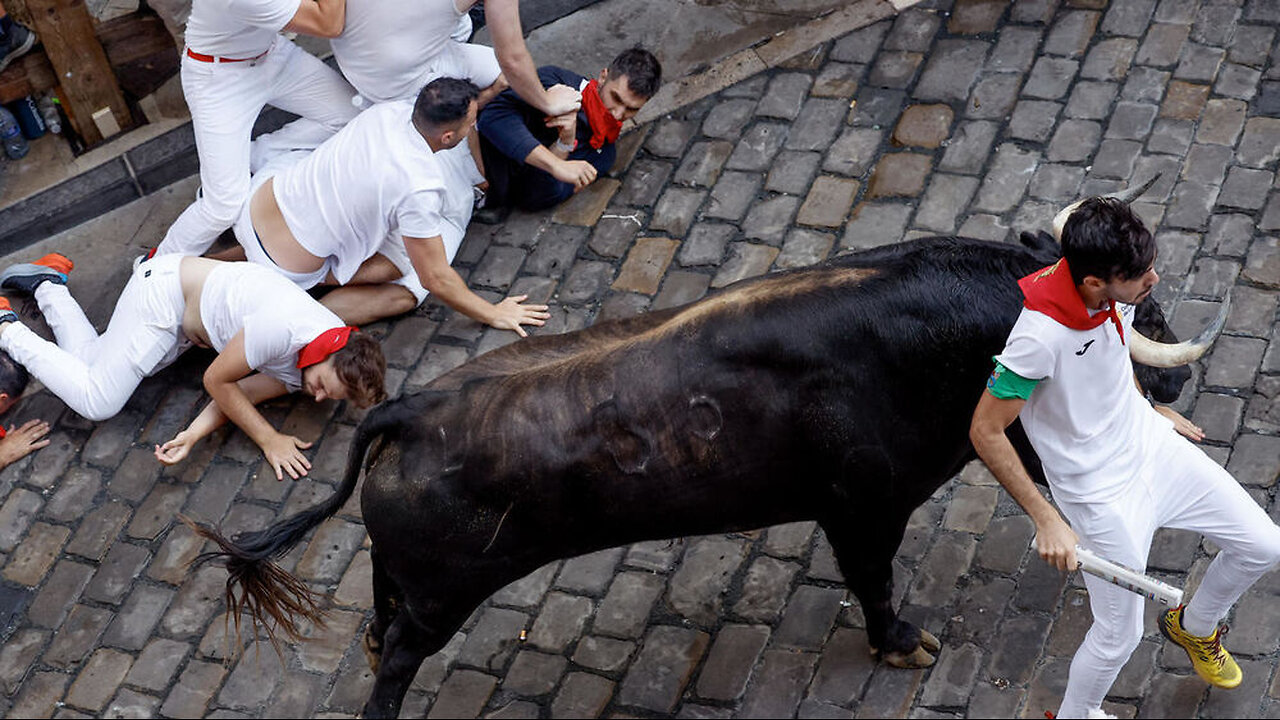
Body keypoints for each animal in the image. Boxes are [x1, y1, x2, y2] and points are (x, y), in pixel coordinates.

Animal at [189, 234, 1187, 712]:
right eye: (1121, 320)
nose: (1177, 380)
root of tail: (406, 408)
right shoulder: (863, 507)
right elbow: (873, 581)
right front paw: (904, 643)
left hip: (412, 574)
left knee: (377, 604)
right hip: (445, 594)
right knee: (396, 659)